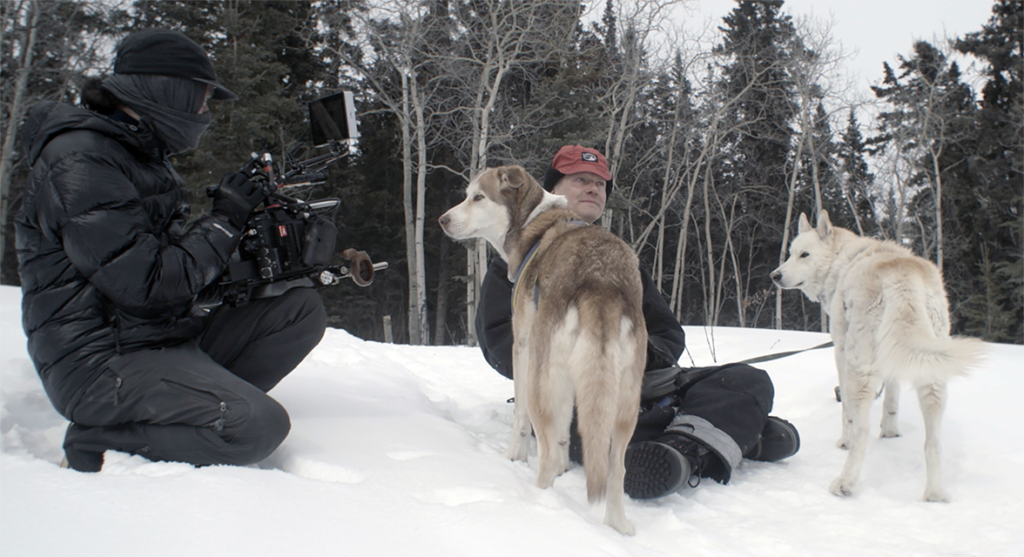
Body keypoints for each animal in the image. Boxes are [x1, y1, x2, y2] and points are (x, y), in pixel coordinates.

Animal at [436, 166, 643, 536]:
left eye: (478, 197)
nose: (442, 220)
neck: (534, 221)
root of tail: (602, 281)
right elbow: (564, 431)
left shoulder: (522, 347)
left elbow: (520, 419)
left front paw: (513, 456)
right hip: (625, 403)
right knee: (615, 470)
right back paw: (618, 527)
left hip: (541, 379)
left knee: (543, 457)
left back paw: (536, 507)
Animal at [770, 208, 978, 499]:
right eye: (790, 253)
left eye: (804, 255)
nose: (774, 276)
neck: (841, 262)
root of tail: (902, 277)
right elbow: (892, 400)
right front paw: (890, 432)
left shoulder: (841, 352)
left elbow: (846, 412)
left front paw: (843, 441)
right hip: (932, 375)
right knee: (933, 442)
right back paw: (935, 493)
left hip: (860, 369)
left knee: (862, 430)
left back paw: (845, 482)